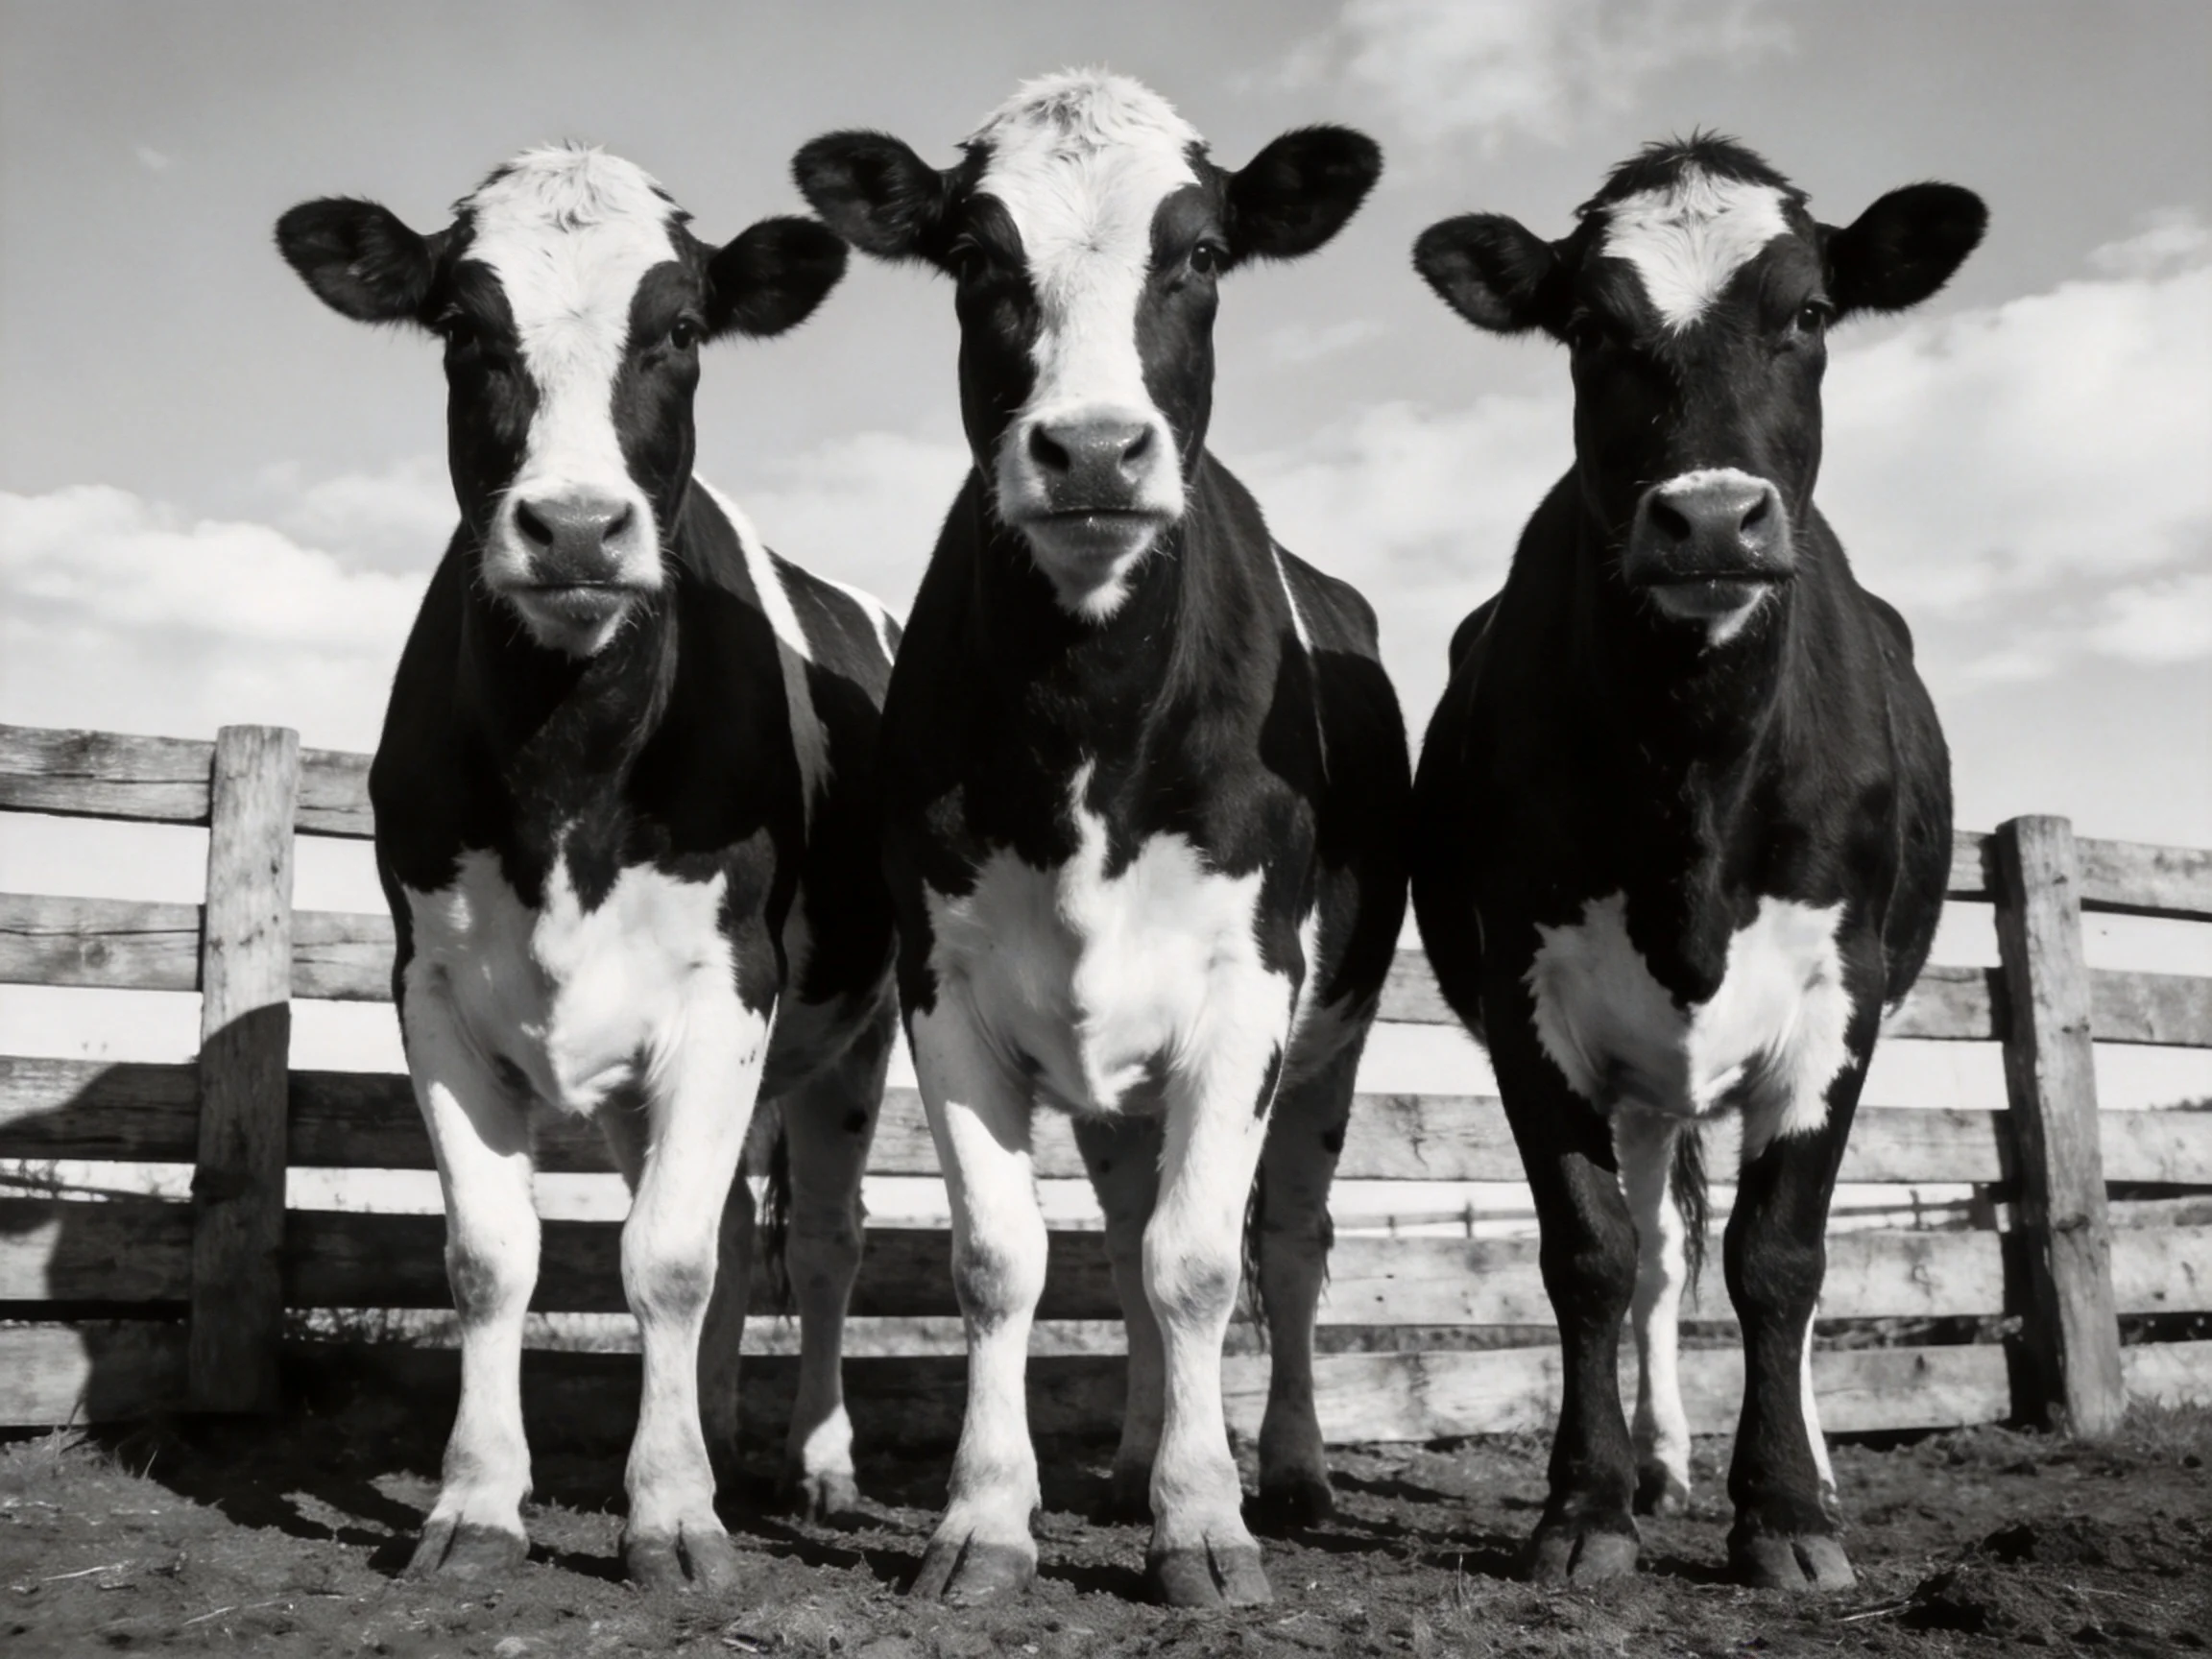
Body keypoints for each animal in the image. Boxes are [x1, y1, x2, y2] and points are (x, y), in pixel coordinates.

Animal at [275, 145, 901, 1590]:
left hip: (859, 1032)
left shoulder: (729, 991)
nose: (571, 529)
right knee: (728, 1236)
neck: (570, 780)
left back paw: (817, 1464)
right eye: (462, 328)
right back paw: (717, 1433)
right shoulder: (433, 991)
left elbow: (662, 1263)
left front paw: (669, 1518)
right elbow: (493, 1258)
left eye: (681, 331)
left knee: (822, 1248)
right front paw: (475, 1504)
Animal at [793, 71, 1409, 1608]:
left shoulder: (1252, 987)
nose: (1088, 450)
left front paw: (1205, 1526)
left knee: (1287, 1246)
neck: (1090, 731)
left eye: (1203, 253)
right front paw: (985, 1521)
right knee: (1126, 1242)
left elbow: (1203, 1264)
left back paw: (1287, 1472)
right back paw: (1132, 1463)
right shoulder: (943, 982)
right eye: (975, 259)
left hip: (1333, 1035)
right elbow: (1004, 1262)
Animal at [1407, 136, 1984, 1589]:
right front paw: (1586, 1507)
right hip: (1643, 1081)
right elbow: (1592, 1252)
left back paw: (1814, 1473)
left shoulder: (1843, 993)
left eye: (1812, 312)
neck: (1696, 778)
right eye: (1588, 329)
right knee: (1662, 1251)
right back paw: (1663, 1464)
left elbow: (1782, 1259)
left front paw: (1783, 1513)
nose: (1713, 519)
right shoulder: (1526, 990)